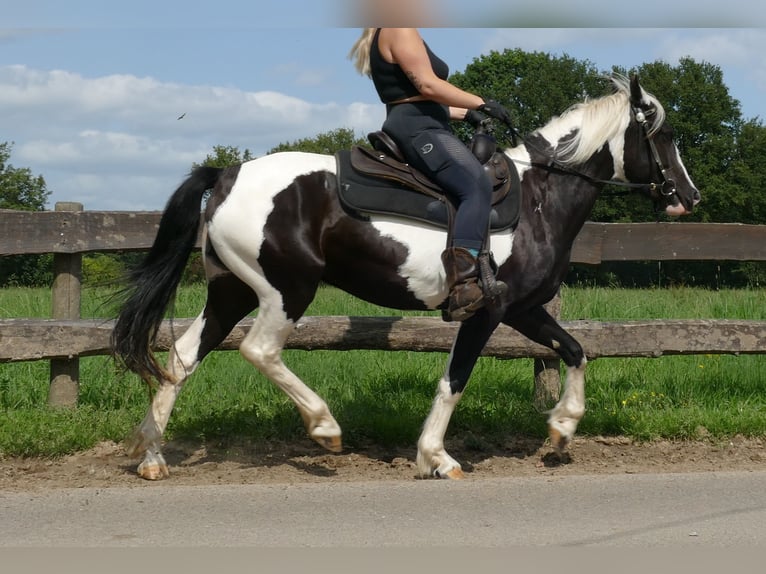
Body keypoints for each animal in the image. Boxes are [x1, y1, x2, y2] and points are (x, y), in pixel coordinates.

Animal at [111, 75, 704, 482]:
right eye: (665, 133)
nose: (690, 196)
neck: (540, 199)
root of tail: (227, 174)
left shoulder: (523, 309)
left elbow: (576, 351)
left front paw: (561, 431)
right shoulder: (487, 311)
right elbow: (455, 380)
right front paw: (436, 457)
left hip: (230, 292)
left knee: (182, 357)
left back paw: (151, 455)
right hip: (286, 291)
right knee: (259, 350)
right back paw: (325, 428)